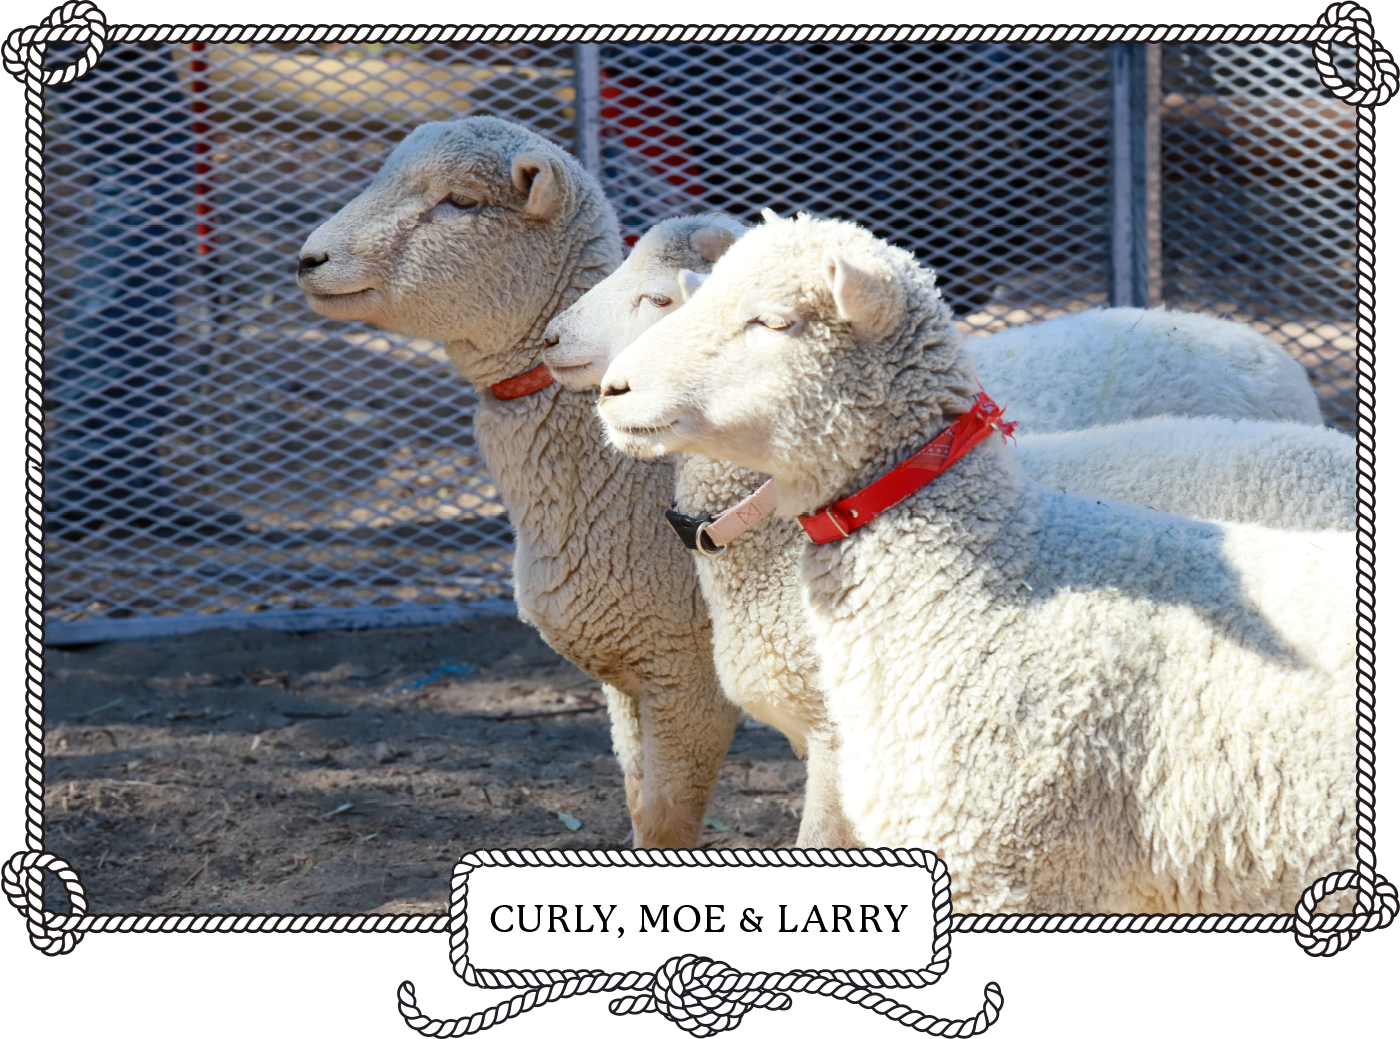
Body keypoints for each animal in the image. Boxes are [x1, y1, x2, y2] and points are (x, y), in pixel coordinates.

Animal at [297, 116, 740, 848]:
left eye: (460, 202)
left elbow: (668, 822)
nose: (309, 259)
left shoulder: (688, 672)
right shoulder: (631, 678)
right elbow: (639, 805)